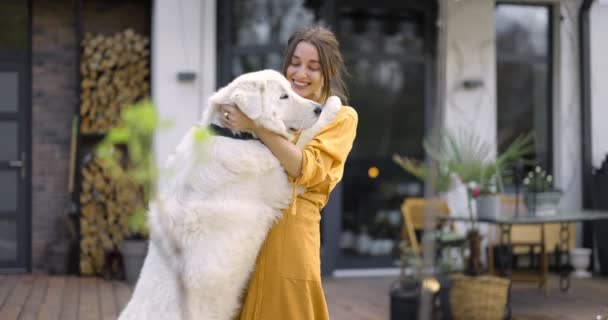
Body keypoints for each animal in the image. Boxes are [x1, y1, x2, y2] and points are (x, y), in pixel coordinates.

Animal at [116, 70, 340, 320]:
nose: (317, 108)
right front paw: (333, 105)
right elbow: (305, 141)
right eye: (283, 96)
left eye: (291, 90)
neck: (233, 135)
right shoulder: (284, 184)